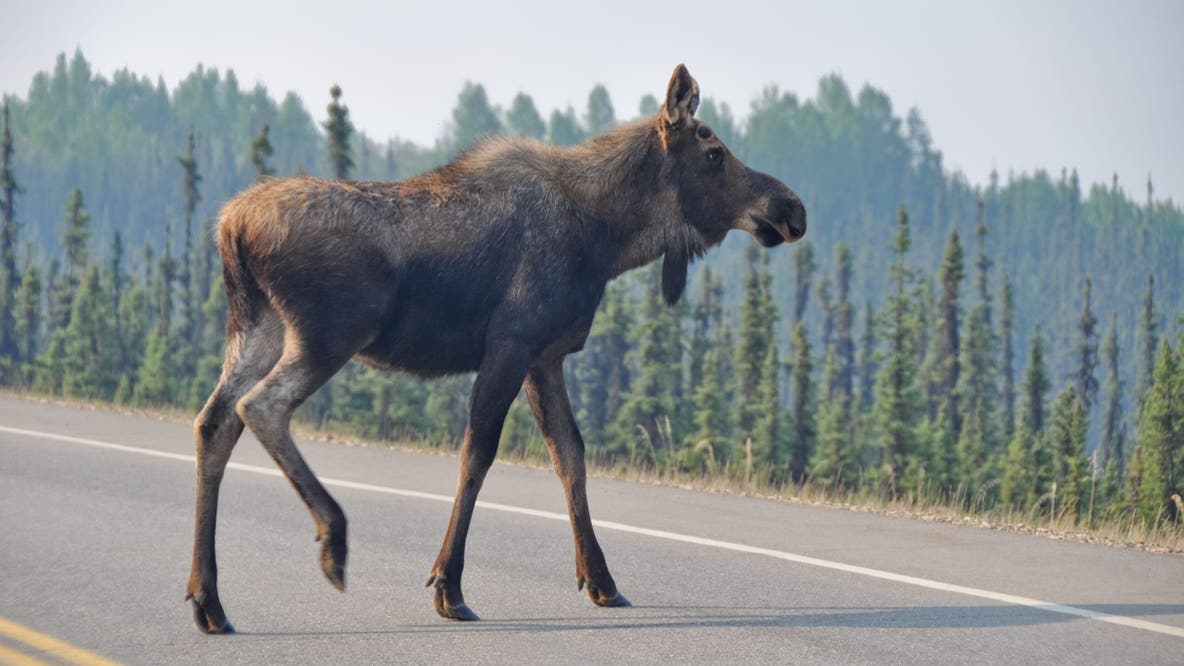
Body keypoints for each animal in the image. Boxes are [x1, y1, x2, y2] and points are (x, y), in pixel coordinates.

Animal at [186, 63, 806, 633]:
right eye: (714, 151)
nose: (792, 208)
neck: (608, 238)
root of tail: (231, 226)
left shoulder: (546, 355)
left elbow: (570, 455)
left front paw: (601, 580)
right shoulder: (512, 342)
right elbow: (477, 454)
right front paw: (448, 586)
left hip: (258, 328)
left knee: (214, 421)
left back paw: (208, 600)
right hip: (328, 332)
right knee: (260, 407)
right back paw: (332, 539)